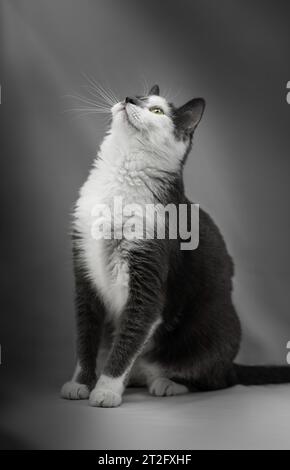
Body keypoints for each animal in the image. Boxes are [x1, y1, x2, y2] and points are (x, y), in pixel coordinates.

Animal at [60, 82, 290, 406]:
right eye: (139, 96)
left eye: (157, 110)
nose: (129, 99)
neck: (120, 179)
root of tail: (231, 363)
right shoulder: (84, 269)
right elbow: (86, 336)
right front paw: (81, 382)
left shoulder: (148, 275)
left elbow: (131, 333)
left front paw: (105, 389)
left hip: (213, 329)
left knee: (215, 379)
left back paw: (168, 383)